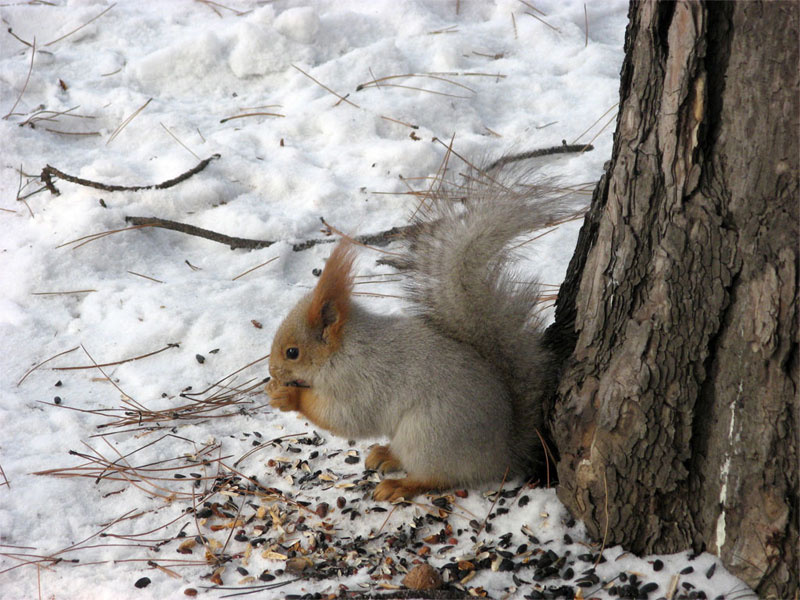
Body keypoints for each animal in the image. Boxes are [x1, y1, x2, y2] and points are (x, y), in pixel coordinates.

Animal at [267, 161, 566, 502]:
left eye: (292, 352)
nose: (272, 373)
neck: (343, 350)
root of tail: (500, 455)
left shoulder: (360, 381)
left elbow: (346, 417)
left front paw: (289, 397)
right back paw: (386, 454)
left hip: (428, 436)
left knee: (435, 477)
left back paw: (399, 485)